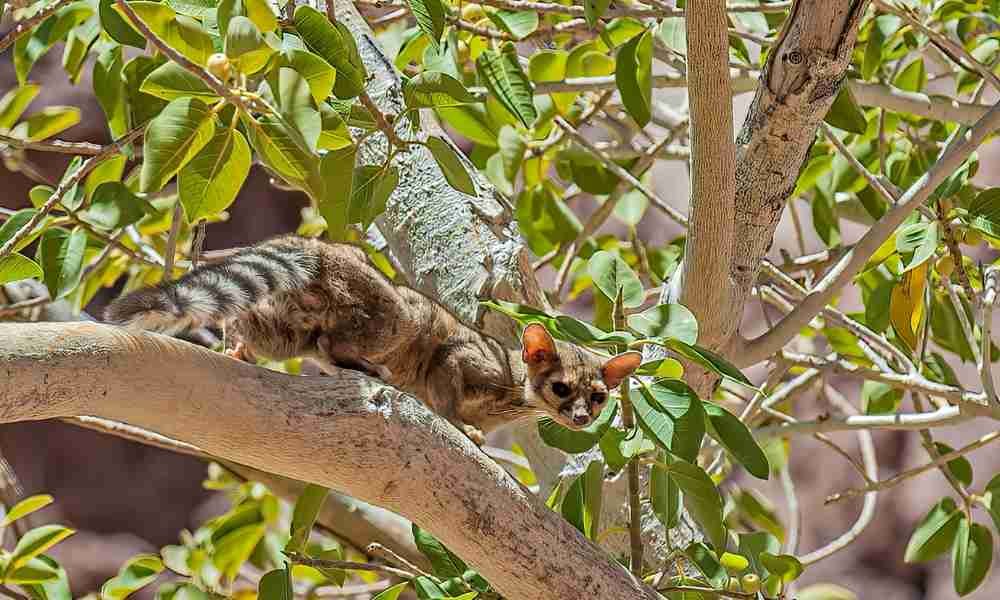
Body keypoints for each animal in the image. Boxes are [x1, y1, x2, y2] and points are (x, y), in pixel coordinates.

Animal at [107, 236, 640, 440]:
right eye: (561, 388)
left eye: (598, 396)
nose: (581, 419)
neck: (512, 398)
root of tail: (317, 247)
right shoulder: (459, 358)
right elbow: (447, 391)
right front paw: (459, 424)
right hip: (390, 317)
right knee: (335, 345)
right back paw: (367, 366)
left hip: (285, 328)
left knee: (262, 330)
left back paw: (237, 347)